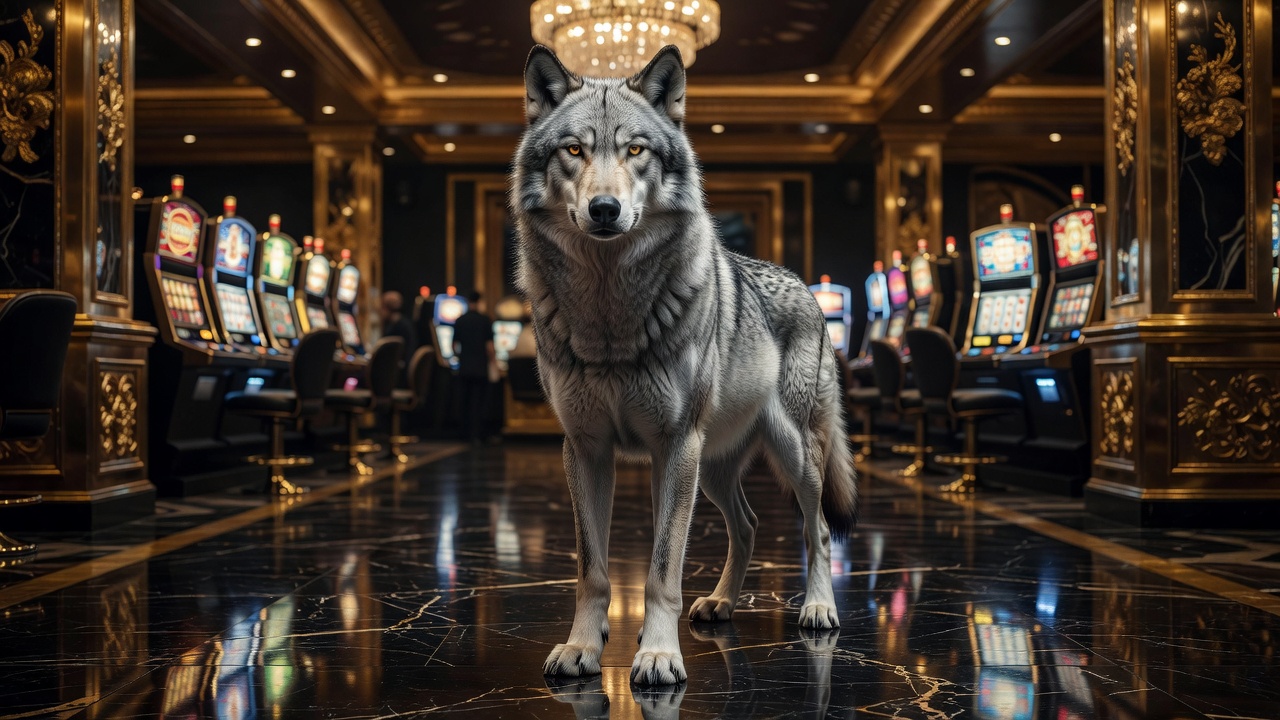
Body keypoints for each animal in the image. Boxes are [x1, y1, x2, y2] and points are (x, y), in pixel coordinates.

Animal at [510, 45, 857, 686]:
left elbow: (661, 570)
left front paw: (657, 654)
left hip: (788, 455)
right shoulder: (586, 447)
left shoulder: (673, 445)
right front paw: (583, 646)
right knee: (748, 525)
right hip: (714, 470)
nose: (604, 209)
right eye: (573, 150)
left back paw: (819, 608)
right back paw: (721, 602)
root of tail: (805, 287)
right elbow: (593, 569)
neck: (609, 316)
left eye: (635, 150)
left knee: (817, 527)